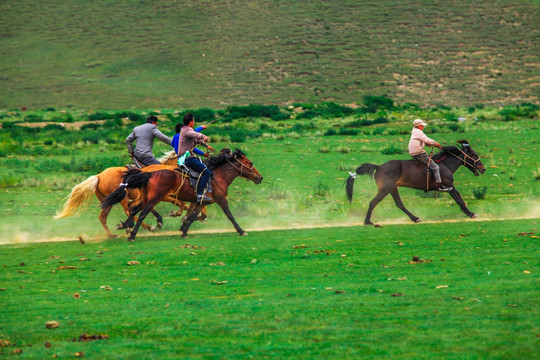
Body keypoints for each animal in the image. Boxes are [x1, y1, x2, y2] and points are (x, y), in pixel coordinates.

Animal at [54, 150, 207, 238]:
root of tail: (98, 176)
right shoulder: (164, 196)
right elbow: (182, 205)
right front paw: (178, 216)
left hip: (108, 201)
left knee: (103, 217)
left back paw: (113, 235)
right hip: (122, 198)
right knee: (128, 209)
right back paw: (141, 227)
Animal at [102, 148, 264, 240]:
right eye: (250, 163)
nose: (260, 177)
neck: (218, 176)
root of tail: (148, 173)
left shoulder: (201, 202)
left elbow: (192, 216)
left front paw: (184, 232)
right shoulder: (220, 200)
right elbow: (230, 215)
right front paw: (241, 231)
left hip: (146, 198)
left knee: (134, 209)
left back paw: (126, 226)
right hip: (154, 199)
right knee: (142, 213)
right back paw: (133, 234)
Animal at [348, 140, 488, 226]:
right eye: (474, 155)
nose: (483, 169)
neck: (445, 164)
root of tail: (379, 167)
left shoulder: (450, 187)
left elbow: (459, 198)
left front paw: (468, 212)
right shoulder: (448, 186)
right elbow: (458, 199)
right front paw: (471, 213)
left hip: (392, 189)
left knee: (399, 204)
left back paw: (415, 218)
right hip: (385, 189)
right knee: (373, 202)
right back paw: (367, 222)